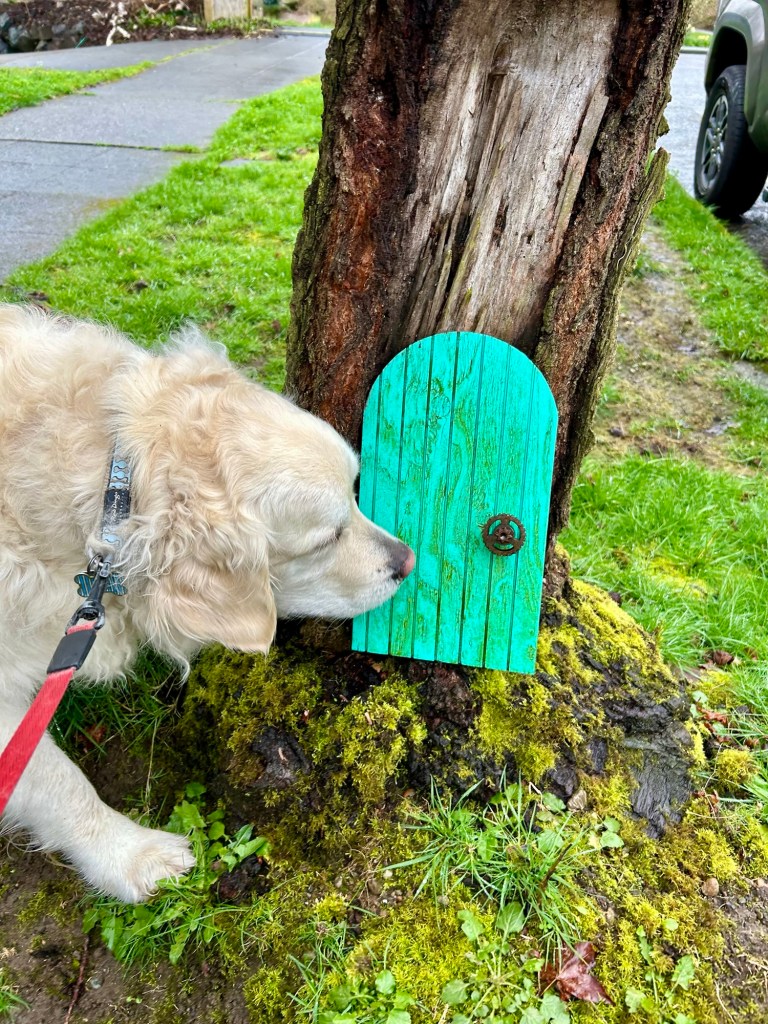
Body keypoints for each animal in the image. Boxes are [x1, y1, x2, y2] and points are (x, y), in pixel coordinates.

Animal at [0, 304, 414, 902]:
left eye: (357, 493)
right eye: (325, 540)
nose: (408, 561)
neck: (110, 491)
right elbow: (57, 781)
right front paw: (131, 856)